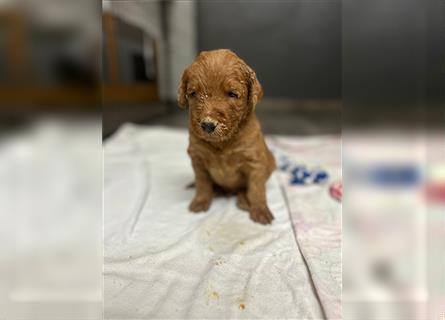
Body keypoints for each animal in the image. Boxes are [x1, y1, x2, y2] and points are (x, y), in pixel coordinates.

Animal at [176, 49, 274, 225]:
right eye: (193, 93)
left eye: (232, 94)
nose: (208, 125)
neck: (223, 142)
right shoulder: (198, 158)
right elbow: (202, 183)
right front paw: (200, 201)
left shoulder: (255, 161)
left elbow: (256, 188)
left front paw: (260, 210)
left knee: (245, 188)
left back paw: (244, 199)